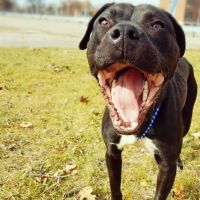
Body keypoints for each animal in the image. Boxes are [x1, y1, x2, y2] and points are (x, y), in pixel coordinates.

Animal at [79, 3, 196, 200]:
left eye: (157, 25)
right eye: (104, 21)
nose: (125, 31)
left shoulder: (167, 167)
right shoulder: (112, 153)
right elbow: (115, 188)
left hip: (186, 118)